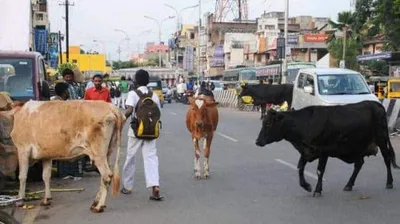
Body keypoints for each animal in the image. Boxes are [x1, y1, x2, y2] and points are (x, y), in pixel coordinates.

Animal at [256, 100, 400, 197]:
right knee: (359, 164)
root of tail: (377, 104)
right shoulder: (307, 152)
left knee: (387, 159)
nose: (257, 141)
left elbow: (320, 171)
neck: (305, 124)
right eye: (263, 123)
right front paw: (306, 186)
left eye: (268, 124)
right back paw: (349, 185)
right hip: (357, 147)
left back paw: (389, 182)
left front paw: (317, 190)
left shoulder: (323, 151)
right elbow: (300, 167)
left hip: (381, 140)